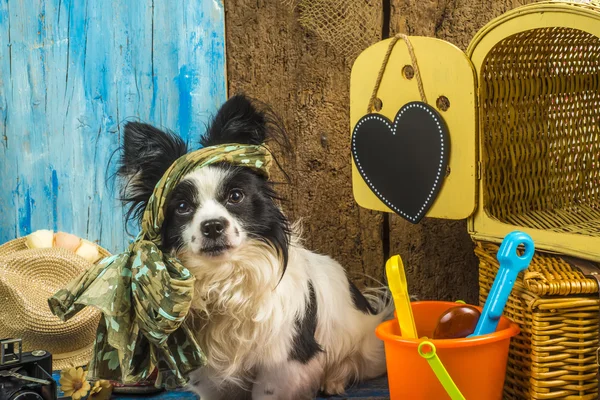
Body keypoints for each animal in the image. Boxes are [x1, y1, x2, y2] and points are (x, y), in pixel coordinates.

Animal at [116, 94, 392, 400]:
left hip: (364, 347)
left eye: (236, 196)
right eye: (183, 207)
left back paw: (333, 381)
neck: (224, 279)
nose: (212, 226)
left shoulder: (281, 364)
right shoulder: (208, 375)